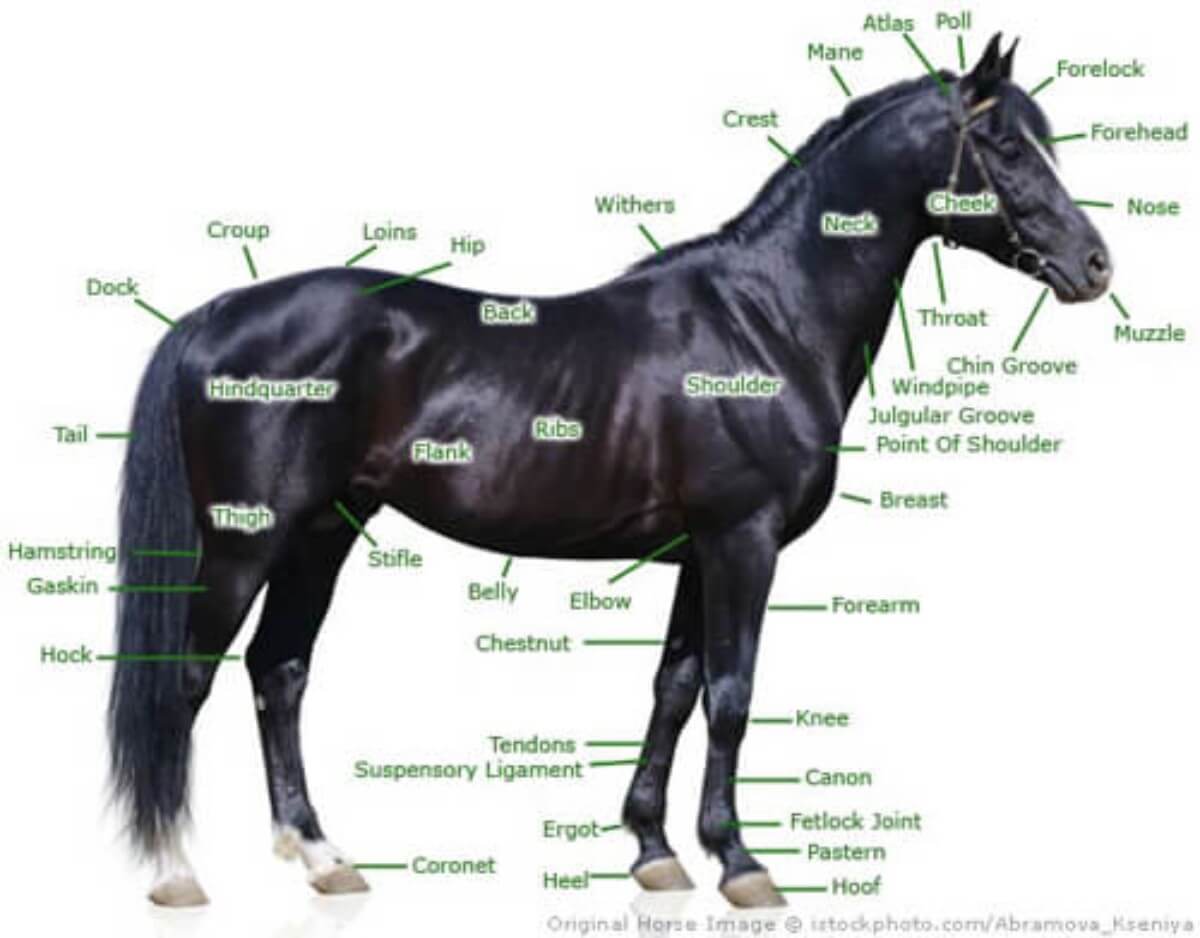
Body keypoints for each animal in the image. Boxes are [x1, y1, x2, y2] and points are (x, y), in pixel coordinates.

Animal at [108, 34, 1111, 909]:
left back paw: (324, 857)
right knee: (187, 679)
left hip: (324, 531)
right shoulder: (743, 542)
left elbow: (675, 688)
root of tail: (220, 311)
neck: (767, 319)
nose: (1095, 265)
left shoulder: (700, 551)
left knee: (278, 671)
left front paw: (656, 852)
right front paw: (741, 863)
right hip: (247, 542)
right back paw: (175, 873)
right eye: (1003, 143)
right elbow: (733, 695)